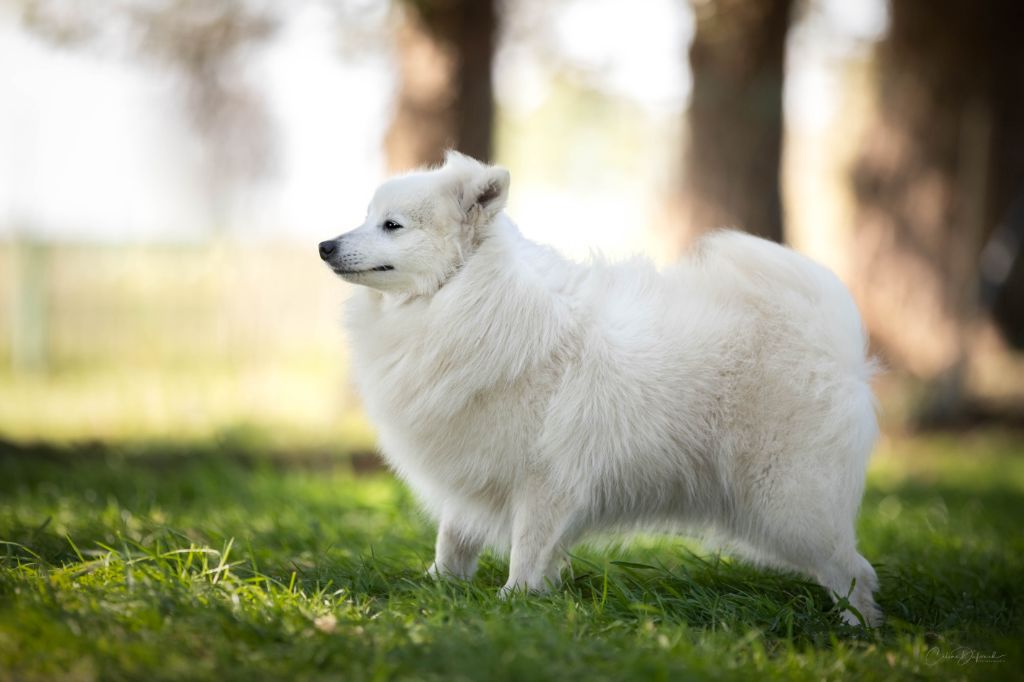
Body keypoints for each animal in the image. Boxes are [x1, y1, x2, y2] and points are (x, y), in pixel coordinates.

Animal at [317, 151, 880, 622]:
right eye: (367, 218)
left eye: (392, 225)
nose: (324, 245)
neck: (463, 300)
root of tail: (835, 344)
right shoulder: (474, 462)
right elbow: (453, 539)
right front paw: (437, 585)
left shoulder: (544, 478)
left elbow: (527, 546)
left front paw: (513, 600)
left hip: (787, 503)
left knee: (854, 571)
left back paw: (857, 632)